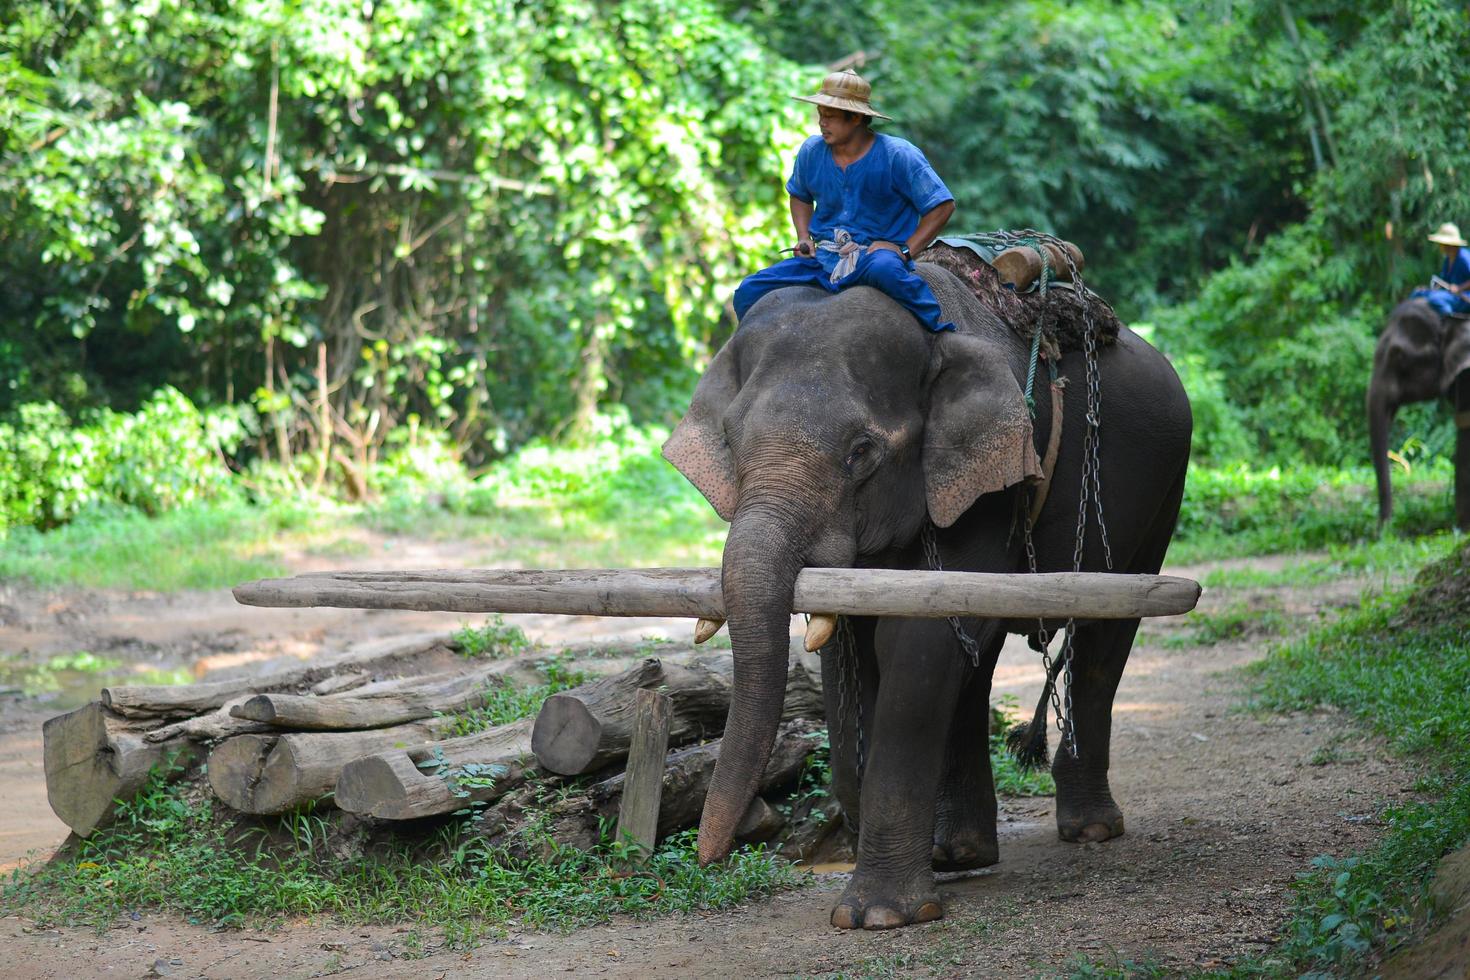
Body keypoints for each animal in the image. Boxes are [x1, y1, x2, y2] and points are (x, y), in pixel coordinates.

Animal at [661, 258, 1187, 928]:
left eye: (861, 452)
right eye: (730, 438)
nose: (706, 857)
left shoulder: (992, 480)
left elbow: (916, 641)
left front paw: (877, 917)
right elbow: (857, 646)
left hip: (1163, 494)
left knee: (1102, 640)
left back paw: (1089, 831)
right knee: (979, 655)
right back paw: (959, 853)